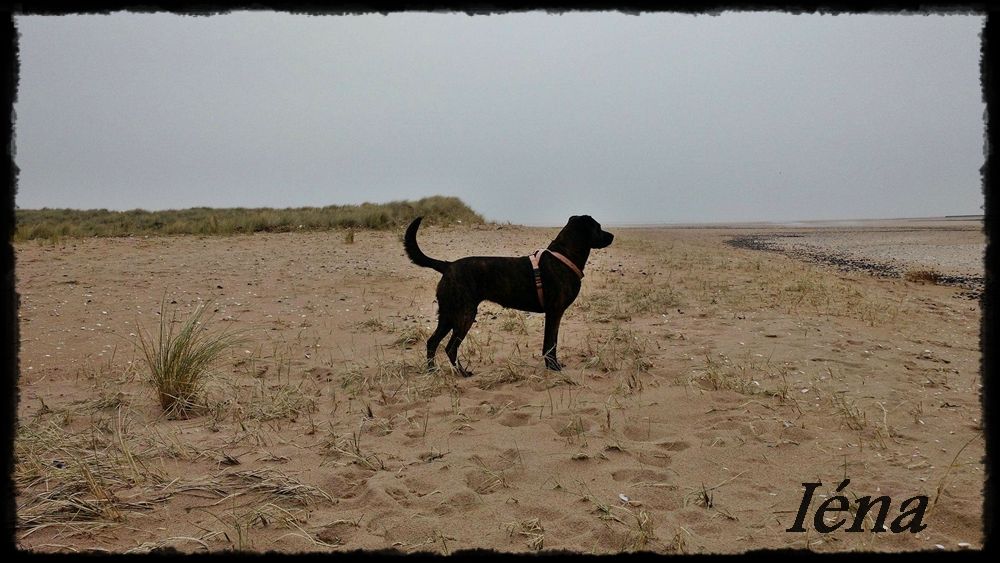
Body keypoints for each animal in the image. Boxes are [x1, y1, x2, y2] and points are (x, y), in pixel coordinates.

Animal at [402, 216, 612, 378]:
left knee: (432, 342)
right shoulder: (554, 312)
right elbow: (551, 343)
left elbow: (550, 342)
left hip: (448, 315)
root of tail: (447, 266)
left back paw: (432, 371)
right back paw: (462, 373)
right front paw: (553, 367)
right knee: (450, 347)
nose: (612, 235)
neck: (564, 256)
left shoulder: (554, 313)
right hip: (464, 315)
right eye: (598, 227)